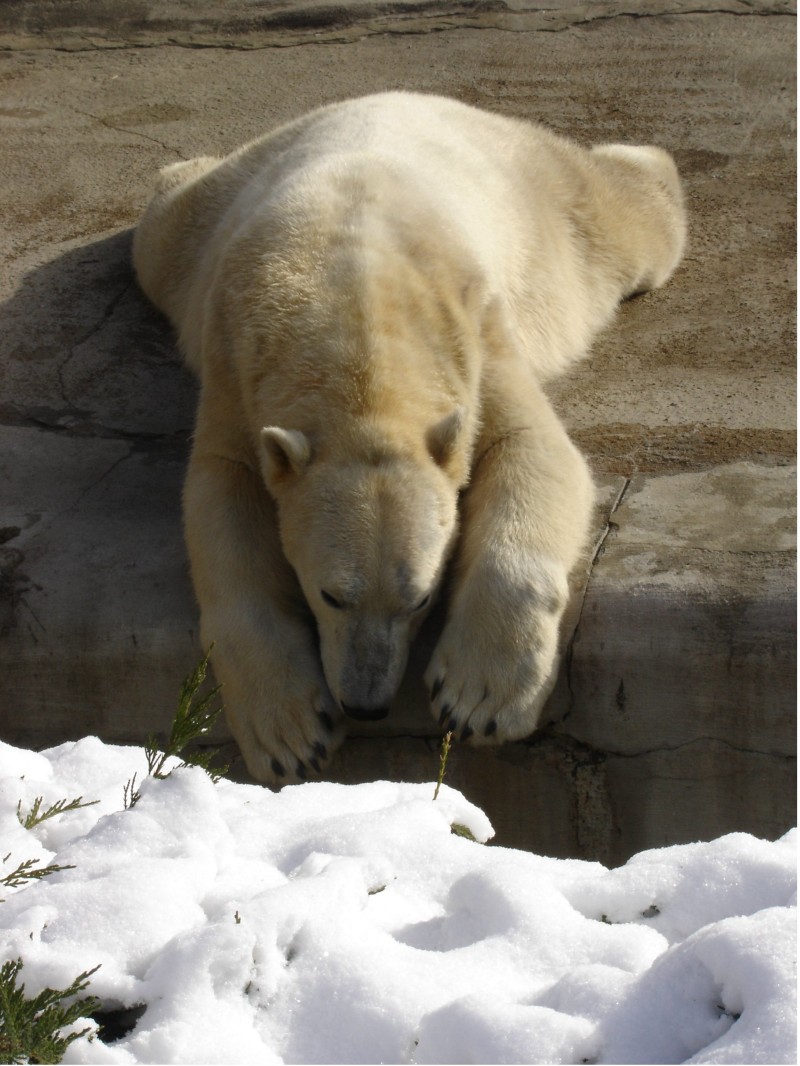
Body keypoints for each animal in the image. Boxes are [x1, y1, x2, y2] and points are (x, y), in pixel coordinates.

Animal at [133, 92, 686, 785]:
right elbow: (221, 496)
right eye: (331, 594)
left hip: (547, 206)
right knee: (161, 227)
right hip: (202, 231)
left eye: (421, 598)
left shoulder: (472, 332)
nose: (366, 703)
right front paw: (291, 733)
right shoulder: (235, 359)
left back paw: (645, 160)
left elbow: (529, 447)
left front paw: (479, 697)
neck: (351, 306)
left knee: (630, 218)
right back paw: (177, 169)